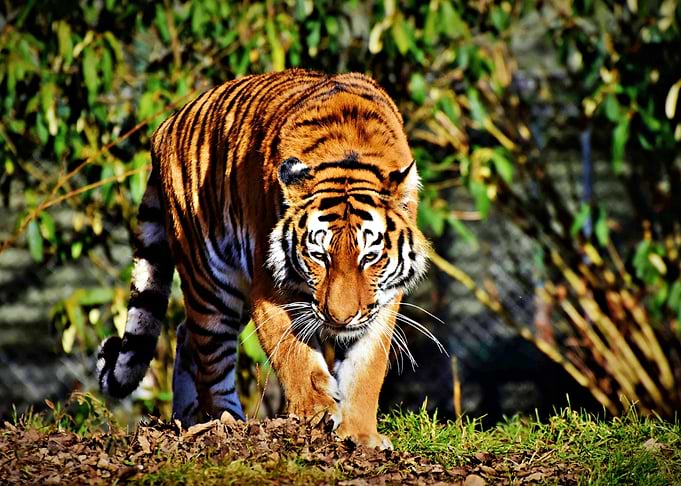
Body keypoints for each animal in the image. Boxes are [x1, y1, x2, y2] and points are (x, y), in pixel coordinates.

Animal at [97, 68, 429, 449]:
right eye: (319, 256)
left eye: (369, 257)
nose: (340, 319)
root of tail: (164, 127)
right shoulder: (268, 287)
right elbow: (295, 356)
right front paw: (316, 413)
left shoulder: (382, 301)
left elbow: (366, 368)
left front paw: (361, 435)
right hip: (211, 282)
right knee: (210, 355)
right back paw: (226, 422)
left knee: (185, 334)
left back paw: (188, 418)